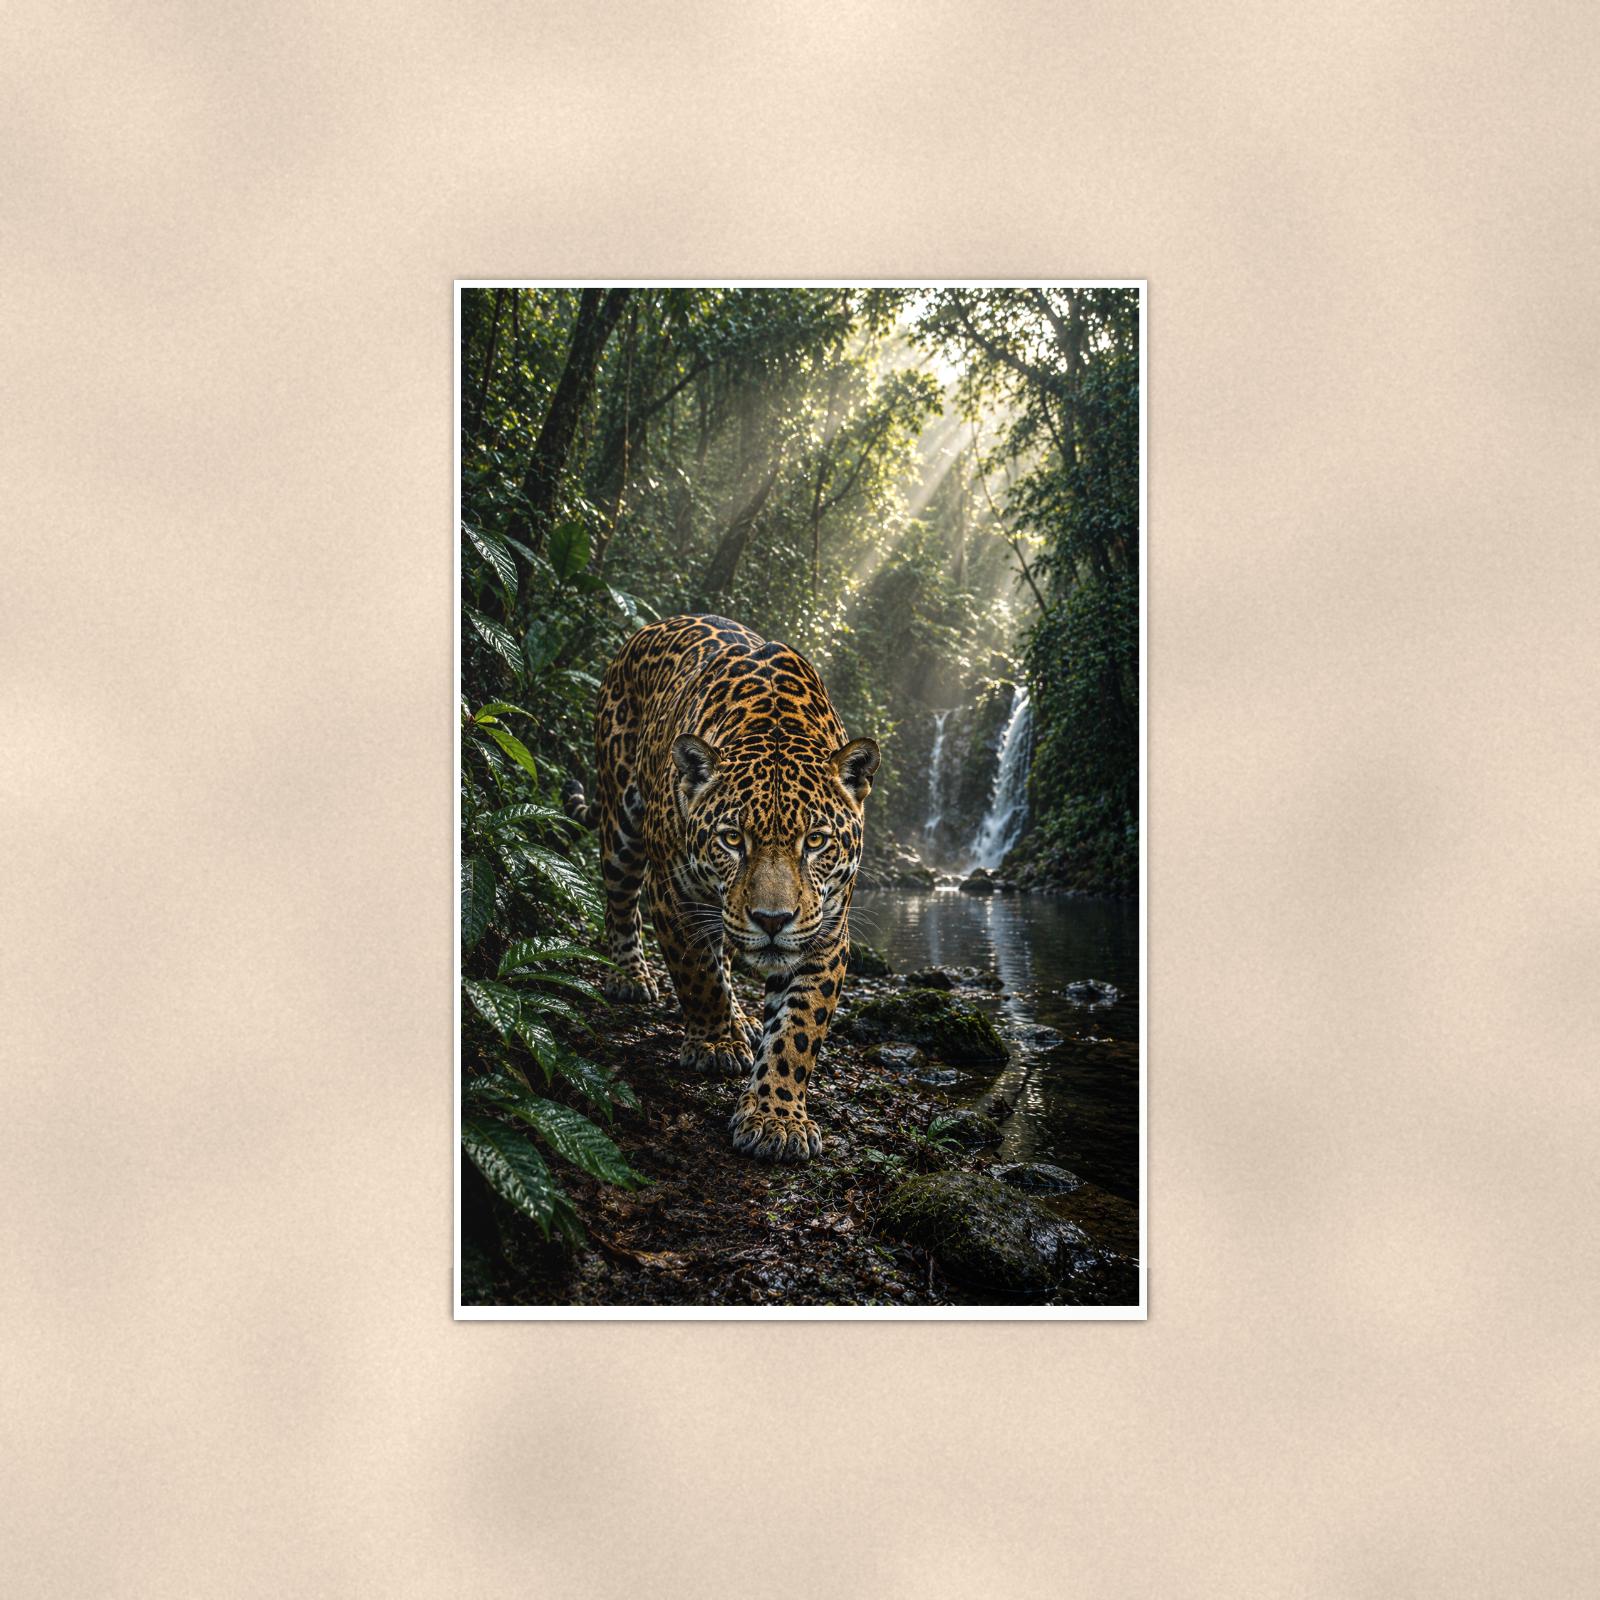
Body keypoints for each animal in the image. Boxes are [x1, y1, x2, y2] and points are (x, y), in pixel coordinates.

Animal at [563, 614, 879, 1164]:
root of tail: (647, 629)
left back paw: (741, 1021)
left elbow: (798, 1030)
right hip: (621, 823)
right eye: (733, 839)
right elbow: (699, 975)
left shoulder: (827, 931)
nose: (772, 921)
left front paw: (777, 1117)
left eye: (816, 841)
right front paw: (713, 1045)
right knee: (621, 904)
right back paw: (632, 978)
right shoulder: (674, 895)